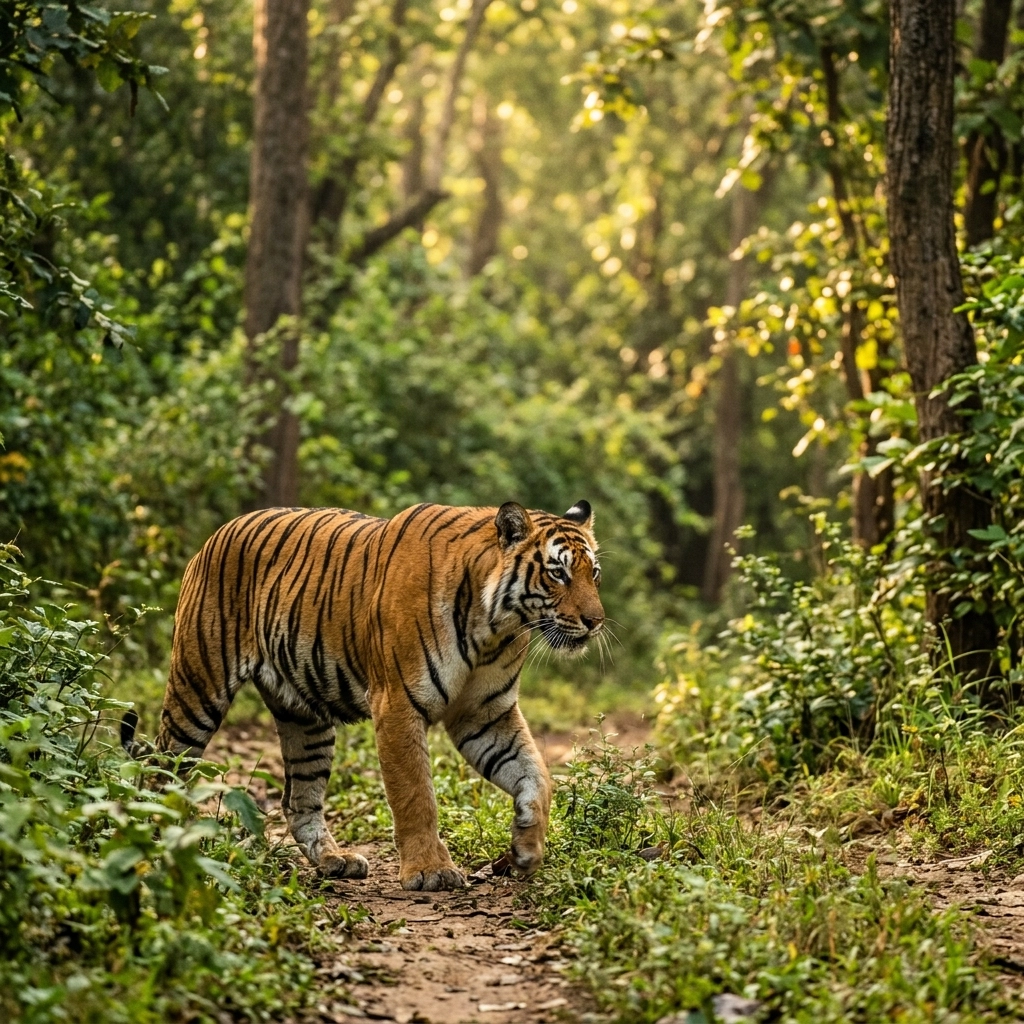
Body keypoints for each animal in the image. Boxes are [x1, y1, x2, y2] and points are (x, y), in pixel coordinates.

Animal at [121, 499, 604, 891]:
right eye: (558, 573)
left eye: (593, 573)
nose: (596, 621)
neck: (497, 628)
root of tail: (218, 532)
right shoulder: (397, 705)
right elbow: (415, 793)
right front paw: (430, 871)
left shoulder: (485, 714)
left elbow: (536, 774)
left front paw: (526, 850)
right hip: (197, 685)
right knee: (162, 767)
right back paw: (158, 841)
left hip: (305, 717)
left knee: (299, 799)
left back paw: (334, 860)